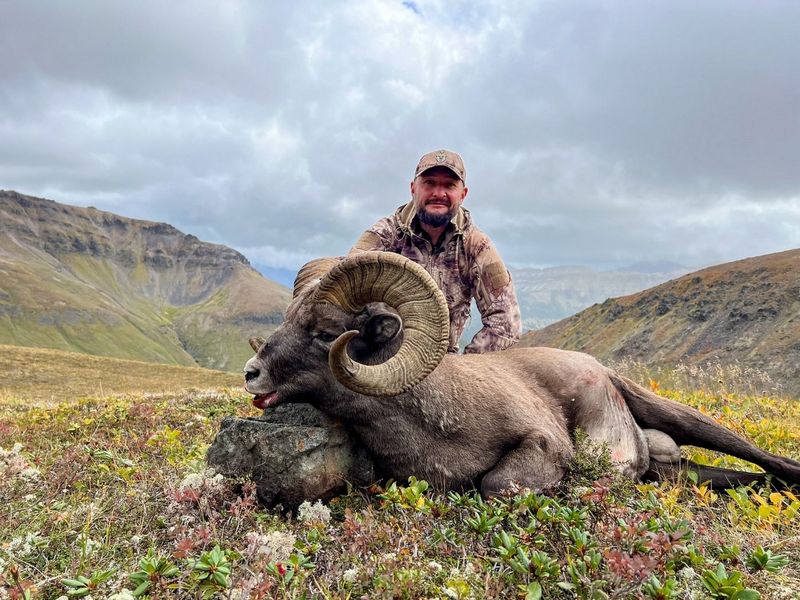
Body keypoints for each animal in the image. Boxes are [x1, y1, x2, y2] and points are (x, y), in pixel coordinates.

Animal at [244, 251, 800, 494]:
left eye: (324, 331)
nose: (252, 374)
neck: (433, 418)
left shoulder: (541, 445)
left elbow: (494, 484)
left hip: (681, 416)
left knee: (765, 458)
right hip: (676, 470)